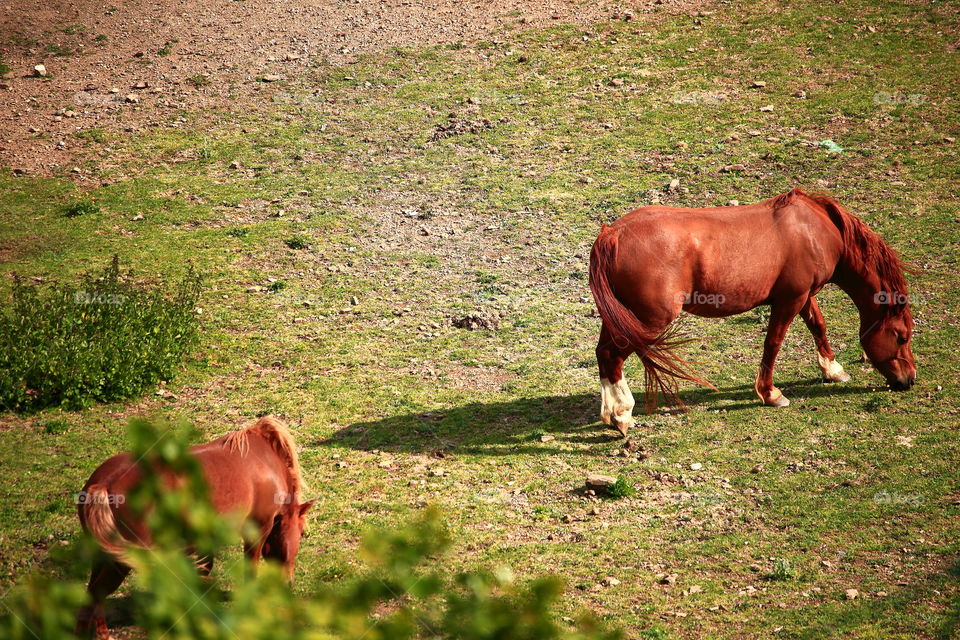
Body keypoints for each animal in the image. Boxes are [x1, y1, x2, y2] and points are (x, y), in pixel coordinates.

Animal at [77, 418, 316, 636]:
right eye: (302, 532)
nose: (288, 584)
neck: (266, 461)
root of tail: (103, 484)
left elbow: (202, 573)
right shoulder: (257, 530)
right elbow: (249, 569)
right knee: (96, 595)